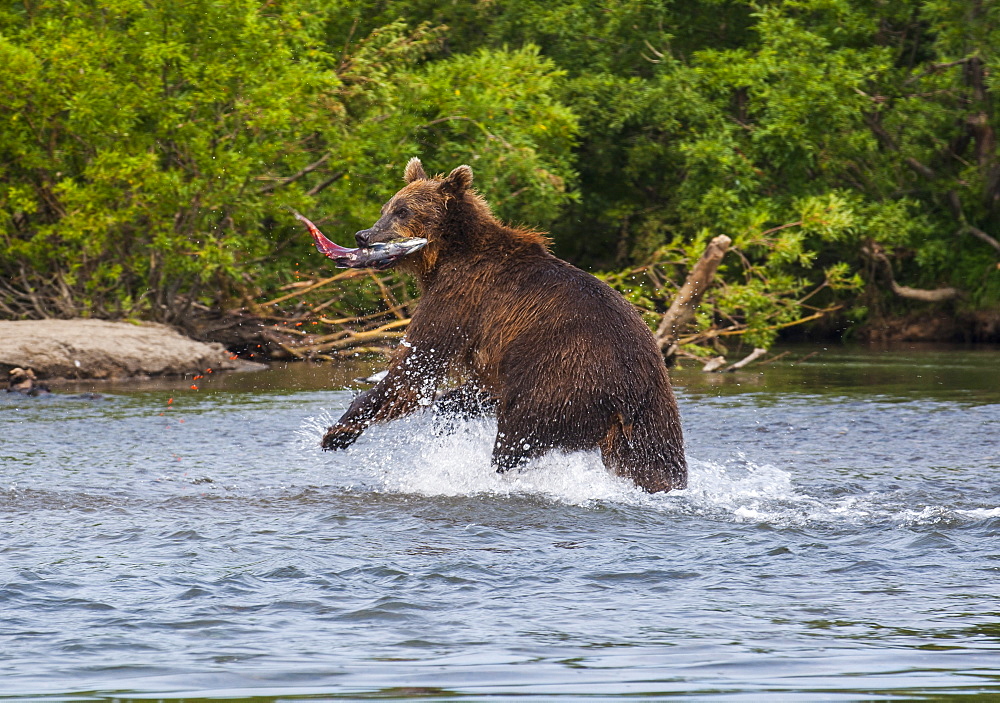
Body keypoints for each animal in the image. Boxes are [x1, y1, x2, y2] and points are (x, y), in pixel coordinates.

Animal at [320, 157, 688, 492]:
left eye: (403, 211)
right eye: (387, 207)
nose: (363, 235)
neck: (445, 255)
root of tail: (627, 392)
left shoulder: (460, 299)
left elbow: (417, 365)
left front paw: (338, 431)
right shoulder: (494, 353)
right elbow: (466, 392)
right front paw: (444, 419)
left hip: (563, 378)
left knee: (516, 438)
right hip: (654, 407)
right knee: (656, 460)